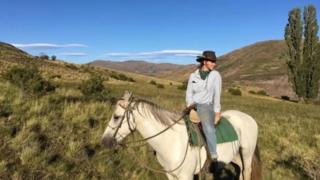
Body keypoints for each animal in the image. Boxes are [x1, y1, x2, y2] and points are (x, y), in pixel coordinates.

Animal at [101, 92, 262, 179]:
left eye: (116, 117)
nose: (104, 141)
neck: (171, 142)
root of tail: (250, 118)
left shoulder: (186, 176)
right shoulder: (171, 175)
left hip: (246, 155)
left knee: (246, 172)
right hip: (235, 157)